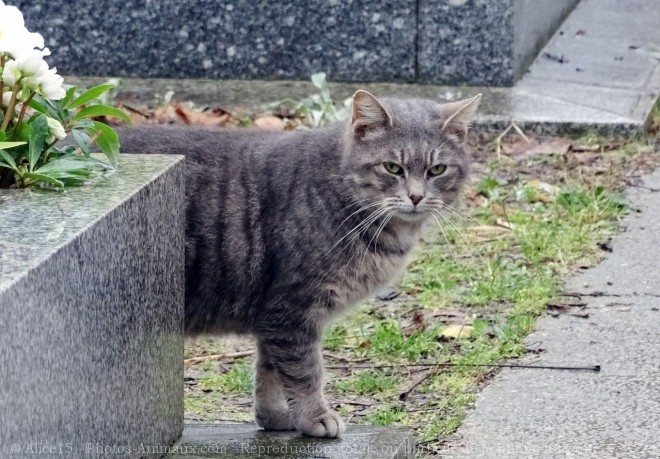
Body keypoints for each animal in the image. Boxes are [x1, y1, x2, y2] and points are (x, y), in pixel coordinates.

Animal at [117, 90, 480, 438]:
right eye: (392, 168)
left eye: (436, 170)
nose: (416, 197)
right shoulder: (292, 310)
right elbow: (306, 372)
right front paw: (316, 417)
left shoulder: (273, 317)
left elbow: (270, 372)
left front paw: (276, 416)